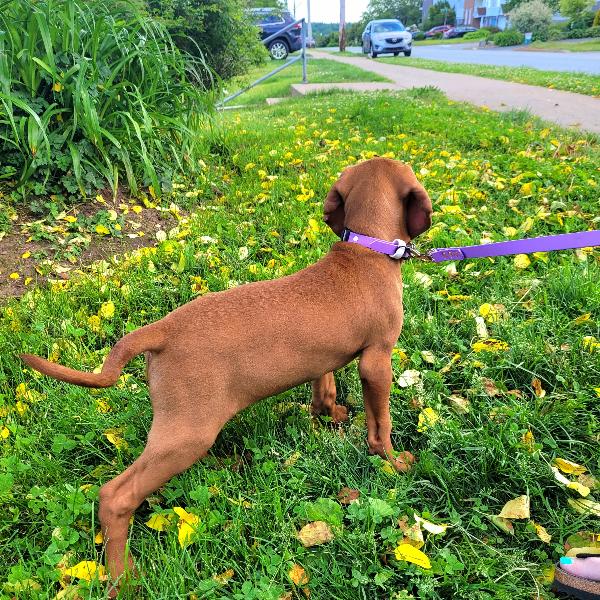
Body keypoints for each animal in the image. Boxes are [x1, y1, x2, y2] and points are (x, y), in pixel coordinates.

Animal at [19, 158, 432, 592]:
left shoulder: (325, 358)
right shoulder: (377, 359)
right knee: (114, 497)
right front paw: (394, 462)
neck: (365, 250)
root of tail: (160, 329)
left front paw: (330, 415)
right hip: (188, 432)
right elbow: (380, 422)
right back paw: (123, 576)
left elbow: (324, 387)